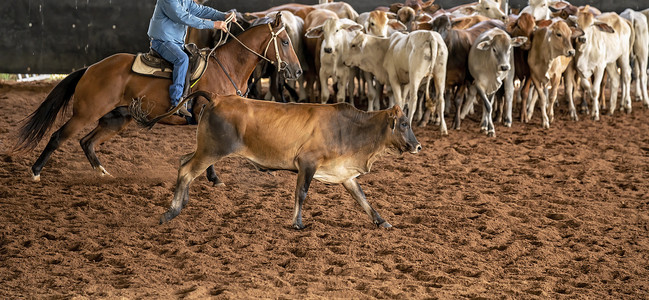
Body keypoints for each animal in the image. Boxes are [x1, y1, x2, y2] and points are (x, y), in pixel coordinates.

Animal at [12, 13, 302, 183]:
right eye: (285, 41)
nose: (297, 71)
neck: (228, 66)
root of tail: (90, 68)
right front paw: (215, 178)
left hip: (116, 119)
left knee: (87, 142)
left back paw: (103, 173)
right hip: (85, 113)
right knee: (58, 136)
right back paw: (36, 172)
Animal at [134, 90, 422, 229]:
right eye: (404, 123)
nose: (418, 146)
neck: (349, 129)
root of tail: (217, 97)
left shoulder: (345, 174)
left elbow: (362, 199)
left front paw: (382, 221)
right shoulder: (307, 163)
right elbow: (301, 193)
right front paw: (297, 223)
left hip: (204, 149)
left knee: (183, 161)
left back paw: (182, 203)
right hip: (211, 150)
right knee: (186, 171)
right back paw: (171, 212)